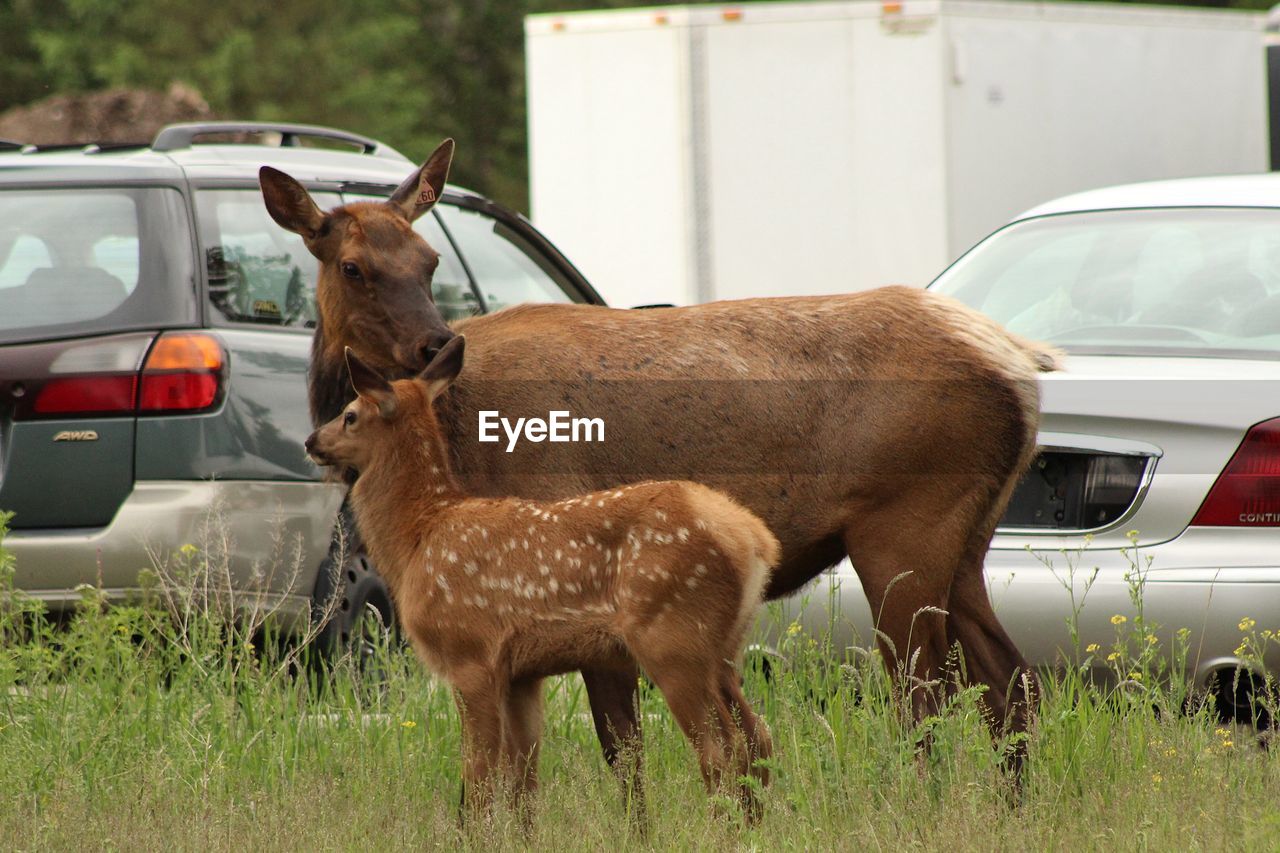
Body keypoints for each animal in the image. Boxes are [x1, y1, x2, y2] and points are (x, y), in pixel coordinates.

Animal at [304, 335, 773, 819]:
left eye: (350, 414)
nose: (310, 440)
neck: (420, 536)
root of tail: (755, 540)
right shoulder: (522, 673)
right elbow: (523, 782)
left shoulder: (469, 653)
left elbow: (479, 777)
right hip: (723, 650)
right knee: (758, 739)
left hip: (672, 637)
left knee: (720, 751)